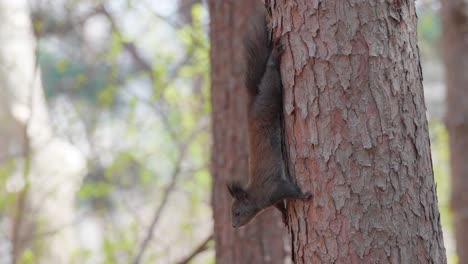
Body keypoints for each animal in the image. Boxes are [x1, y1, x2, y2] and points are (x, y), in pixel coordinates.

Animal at [226, 6, 310, 229]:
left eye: (237, 212)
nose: (233, 225)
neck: (257, 197)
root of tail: (251, 107)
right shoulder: (272, 198)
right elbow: (280, 206)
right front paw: (284, 217)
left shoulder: (273, 188)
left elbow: (289, 191)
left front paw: (304, 195)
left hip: (270, 96)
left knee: (271, 73)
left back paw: (275, 55)